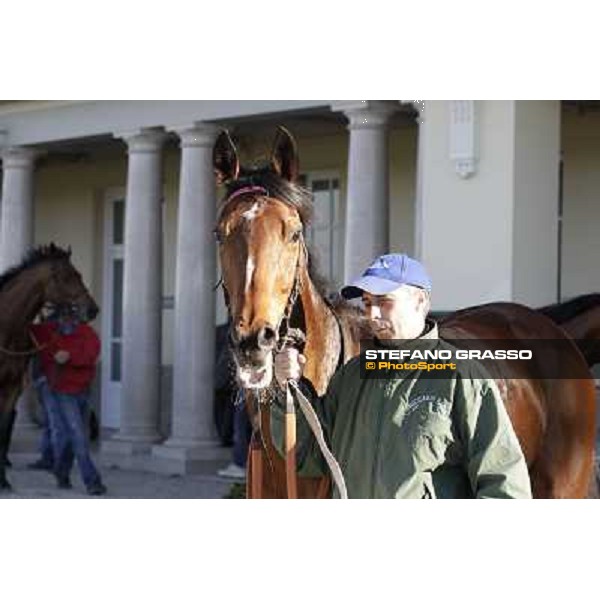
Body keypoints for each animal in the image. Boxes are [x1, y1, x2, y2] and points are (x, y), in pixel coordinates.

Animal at [0, 245, 98, 492]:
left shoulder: (12, 388)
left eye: (79, 274)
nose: (92, 309)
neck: (5, 330)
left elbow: (3, 429)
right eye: (67, 276)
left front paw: (3, 481)